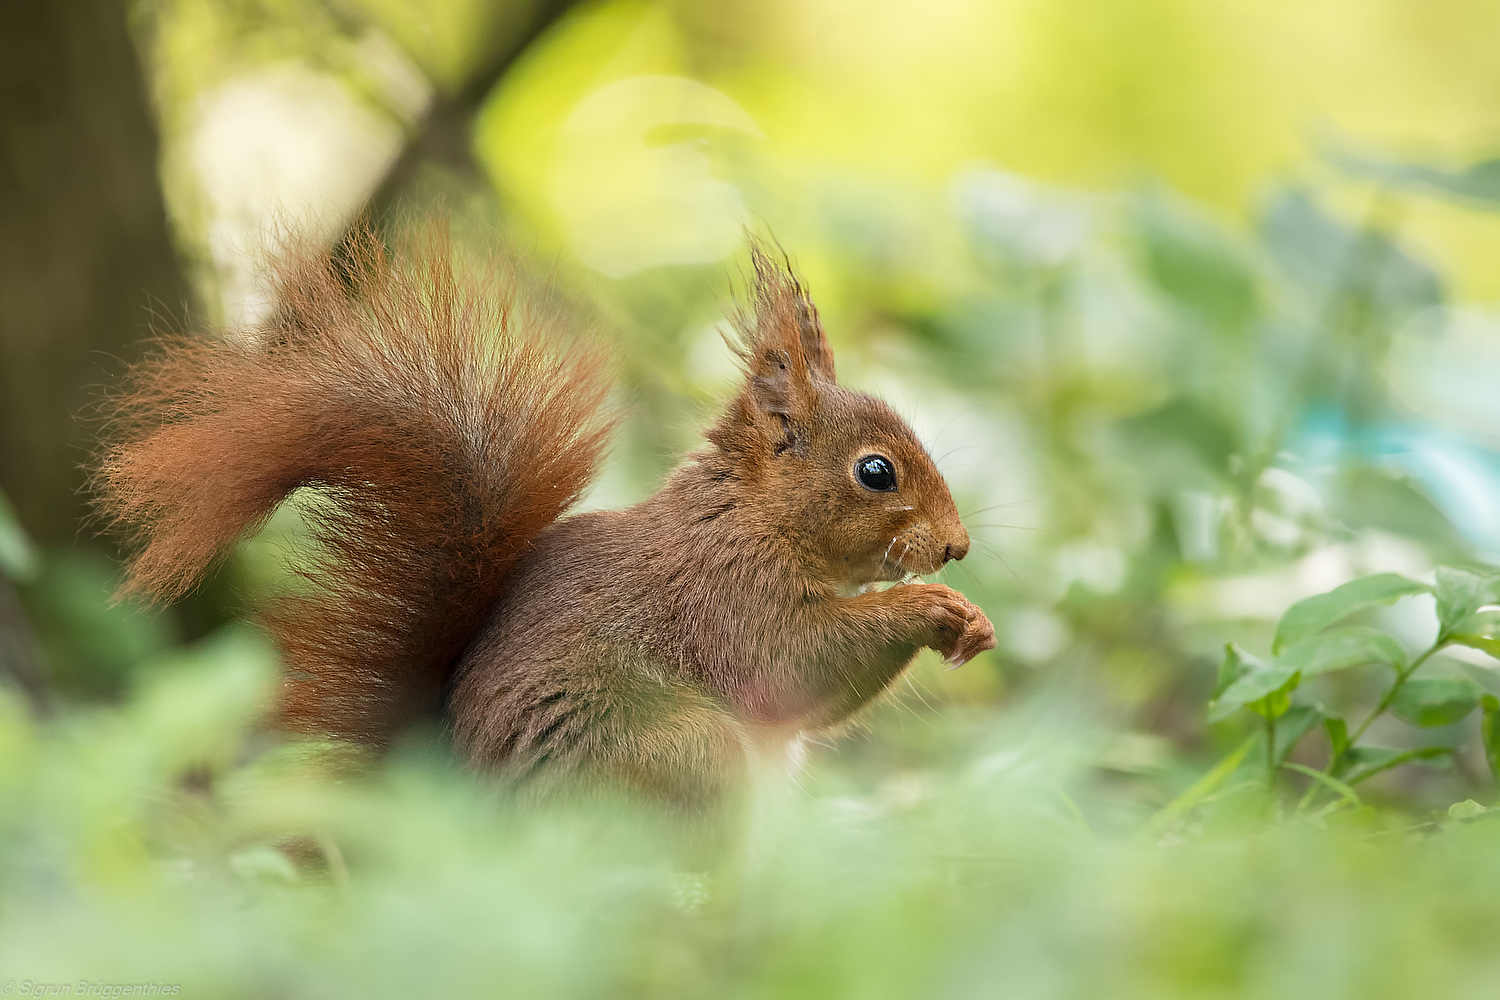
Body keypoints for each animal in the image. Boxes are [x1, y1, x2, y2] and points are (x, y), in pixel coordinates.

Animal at [93, 226, 990, 821]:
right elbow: (794, 663)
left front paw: (971, 619)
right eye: (875, 472)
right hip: (680, 756)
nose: (957, 547)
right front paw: (930, 608)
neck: (755, 517)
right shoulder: (726, 596)